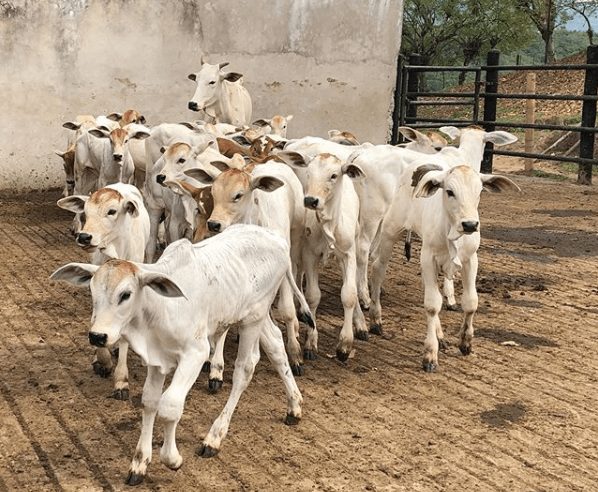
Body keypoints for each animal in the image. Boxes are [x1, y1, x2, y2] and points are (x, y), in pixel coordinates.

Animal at [50, 59, 520, 486]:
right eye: (211, 193)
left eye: (240, 193)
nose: (213, 223)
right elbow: (153, 397)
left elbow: (348, 297)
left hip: (356, 242)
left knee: (304, 321)